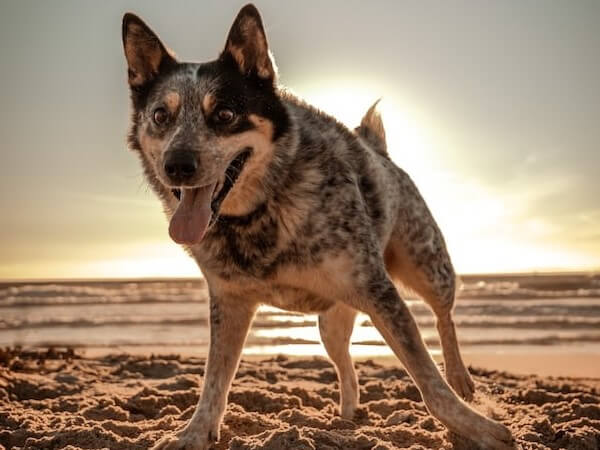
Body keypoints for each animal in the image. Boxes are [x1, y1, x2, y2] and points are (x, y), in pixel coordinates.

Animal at [120, 4, 510, 450]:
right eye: (160, 116)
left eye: (225, 114)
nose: (177, 165)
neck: (263, 209)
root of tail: (378, 148)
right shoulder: (230, 302)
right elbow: (214, 381)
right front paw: (194, 432)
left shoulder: (379, 291)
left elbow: (429, 380)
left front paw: (477, 428)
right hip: (331, 322)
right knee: (345, 362)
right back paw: (347, 415)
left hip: (427, 266)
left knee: (444, 316)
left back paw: (461, 377)